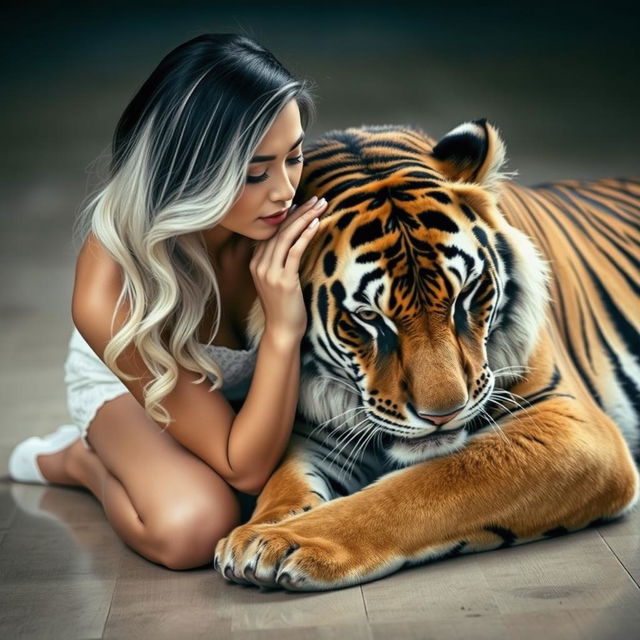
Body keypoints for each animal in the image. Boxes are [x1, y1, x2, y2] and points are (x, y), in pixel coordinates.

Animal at [216, 119, 640, 592]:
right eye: (369, 316)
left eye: (465, 294)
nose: (444, 414)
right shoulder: (316, 433)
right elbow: (284, 482)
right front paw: (261, 529)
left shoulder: (568, 423)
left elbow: (417, 487)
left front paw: (278, 539)